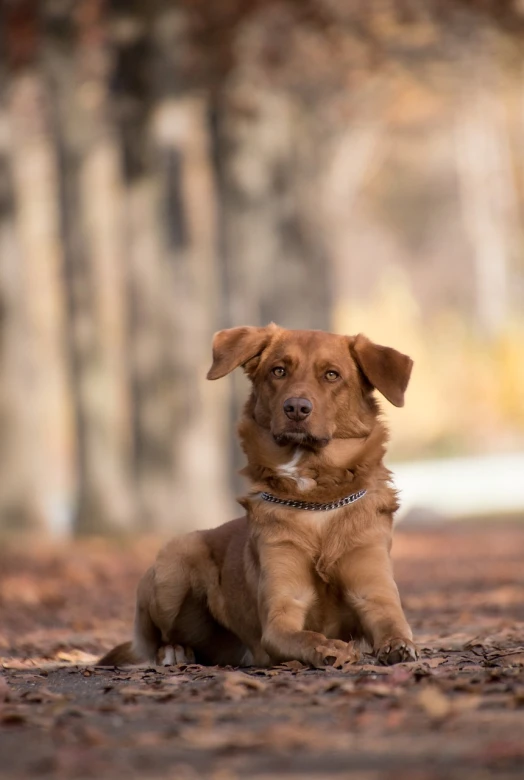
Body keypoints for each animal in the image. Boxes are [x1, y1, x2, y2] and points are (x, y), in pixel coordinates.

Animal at [98, 324, 418, 672]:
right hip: (175, 561)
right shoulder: (281, 613)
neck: (316, 500)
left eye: (332, 375)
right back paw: (174, 652)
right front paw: (330, 648)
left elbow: (394, 625)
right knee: (160, 639)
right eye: (278, 370)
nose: (296, 408)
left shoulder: (374, 594)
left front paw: (398, 646)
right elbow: (305, 637)